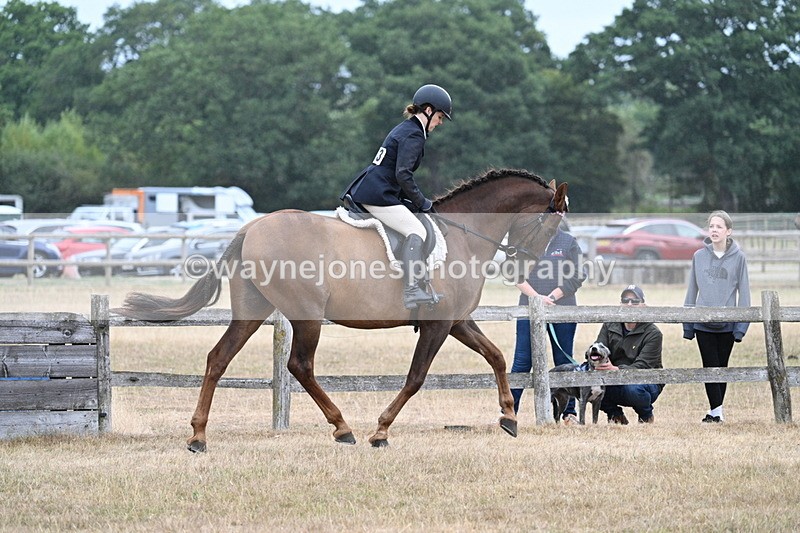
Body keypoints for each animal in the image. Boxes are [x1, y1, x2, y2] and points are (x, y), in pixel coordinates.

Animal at [113, 168, 568, 451]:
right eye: (550, 225)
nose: (522, 268)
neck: (465, 235)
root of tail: (250, 228)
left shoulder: (456, 321)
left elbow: (496, 356)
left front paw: (508, 417)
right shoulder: (438, 325)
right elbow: (416, 378)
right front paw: (380, 431)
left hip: (252, 310)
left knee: (218, 358)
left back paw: (198, 437)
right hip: (306, 315)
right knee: (300, 366)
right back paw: (343, 428)